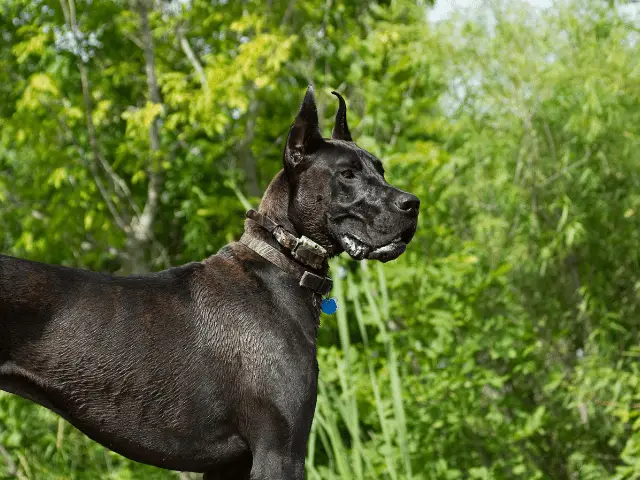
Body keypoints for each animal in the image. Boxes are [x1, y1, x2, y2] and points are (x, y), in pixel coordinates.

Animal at [0, 87, 420, 480]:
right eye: (347, 174)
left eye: (381, 170)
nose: (413, 203)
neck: (279, 265)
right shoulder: (279, 451)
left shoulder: (231, 464)